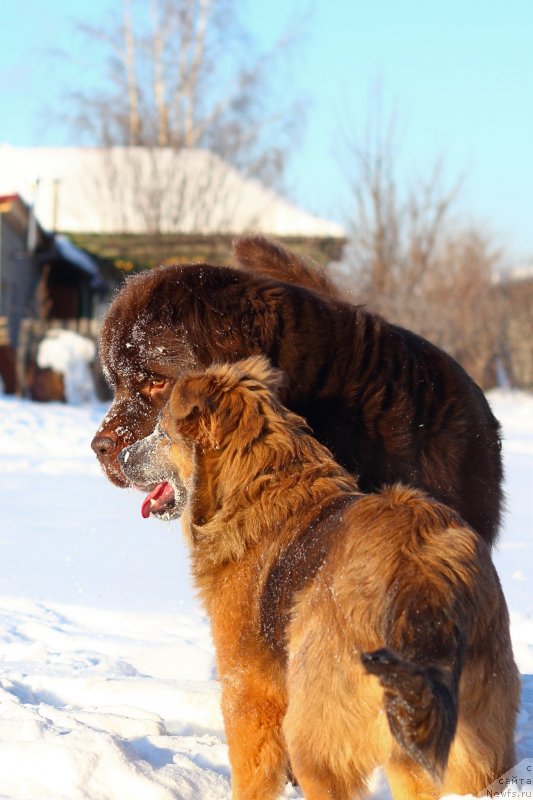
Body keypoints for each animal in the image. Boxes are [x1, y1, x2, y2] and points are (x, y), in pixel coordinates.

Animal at [117, 356, 520, 800]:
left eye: (162, 431)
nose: (121, 457)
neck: (257, 484)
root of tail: (421, 569)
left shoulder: (250, 691)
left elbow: (252, 772)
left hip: (319, 735)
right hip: (468, 744)